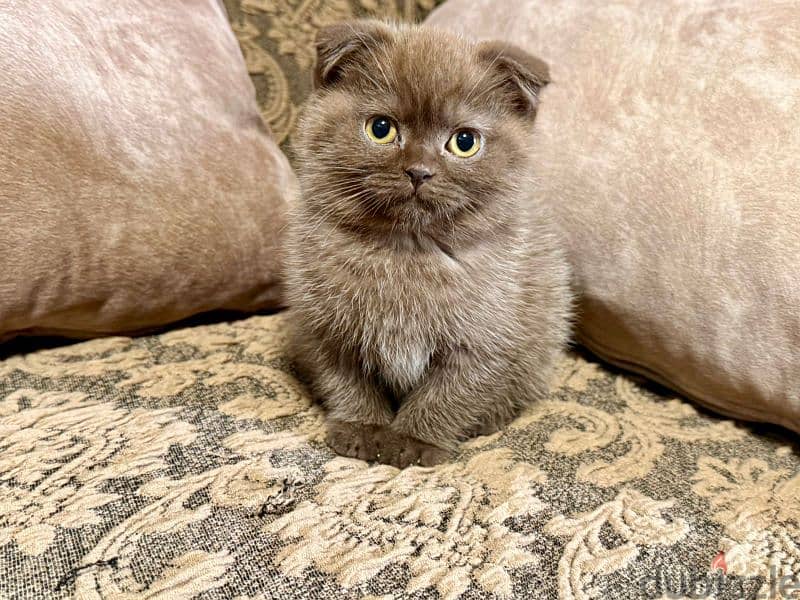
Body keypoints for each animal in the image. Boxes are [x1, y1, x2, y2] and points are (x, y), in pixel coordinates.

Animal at [284, 19, 572, 468]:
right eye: (381, 129)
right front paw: (361, 429)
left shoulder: (485, 339)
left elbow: (449, 394)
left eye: (464, 141)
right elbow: (346, 380)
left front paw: (414, 441)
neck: (407, 250)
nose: (418, 171)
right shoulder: (324, 328)